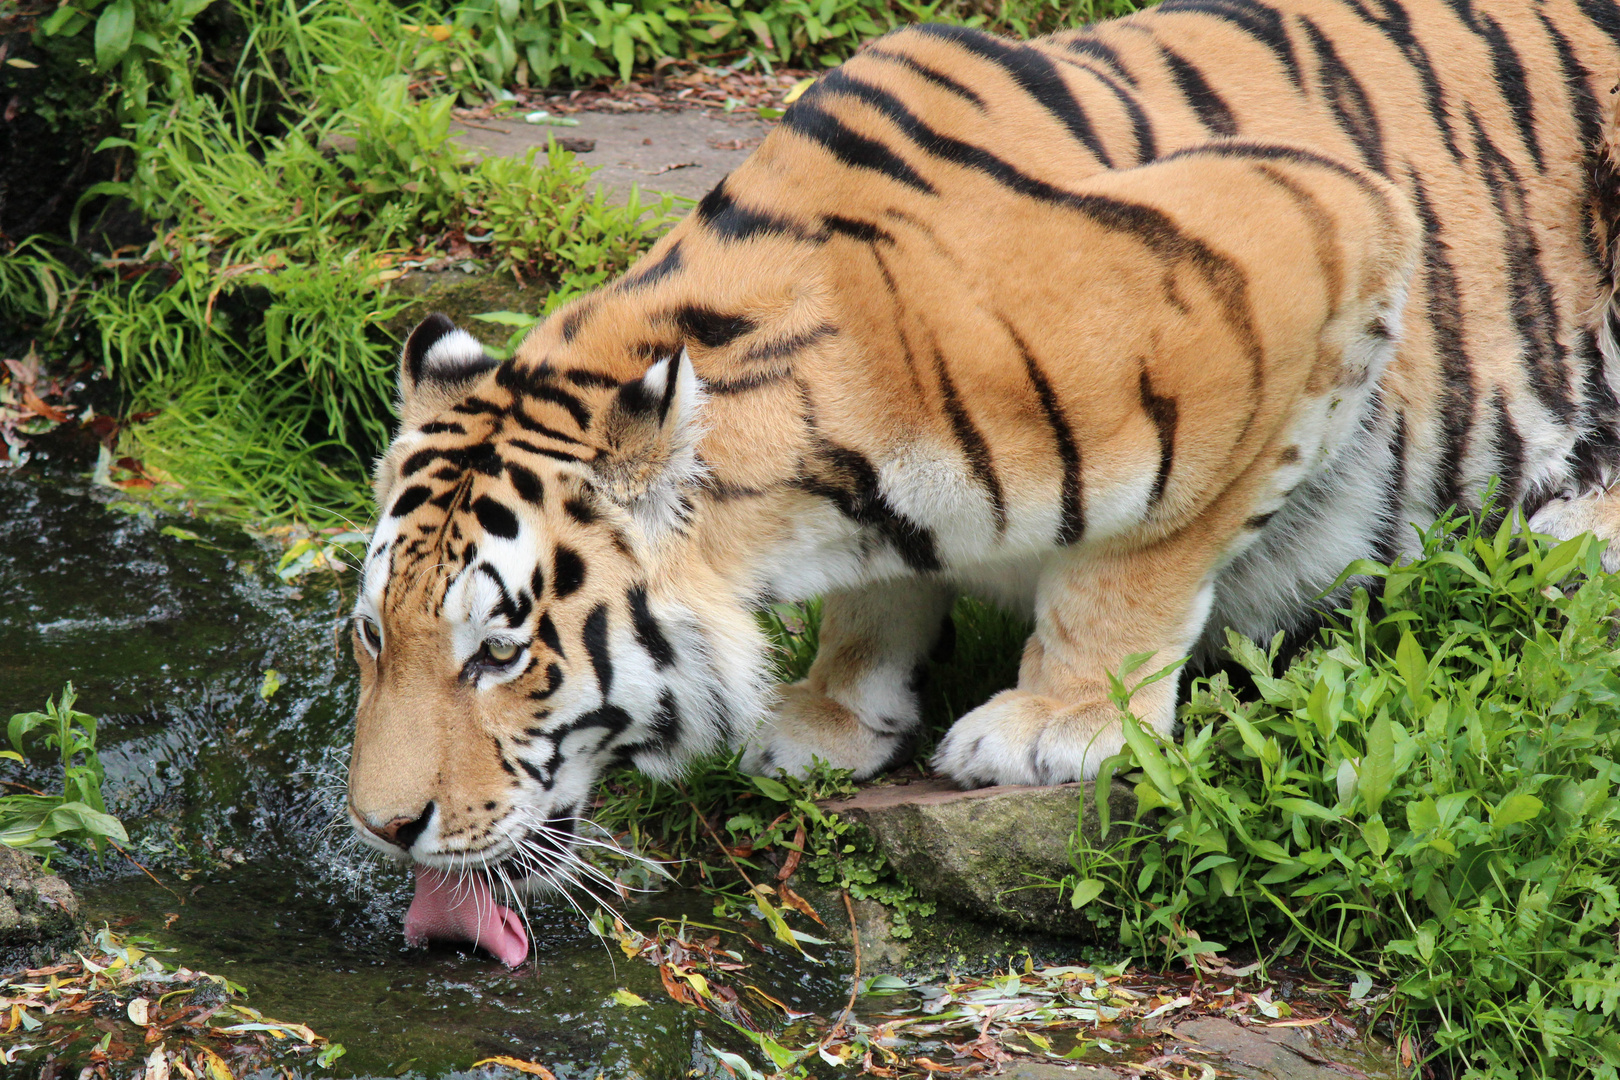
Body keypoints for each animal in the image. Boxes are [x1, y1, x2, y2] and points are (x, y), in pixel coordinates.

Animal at [345, 0, 1620, 965]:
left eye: (500, 655)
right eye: (370, 639)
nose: (380, 828)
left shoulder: (1310, 228)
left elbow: (1147, 553)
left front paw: (1056, 724)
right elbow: (879, 592)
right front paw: (833, 708)